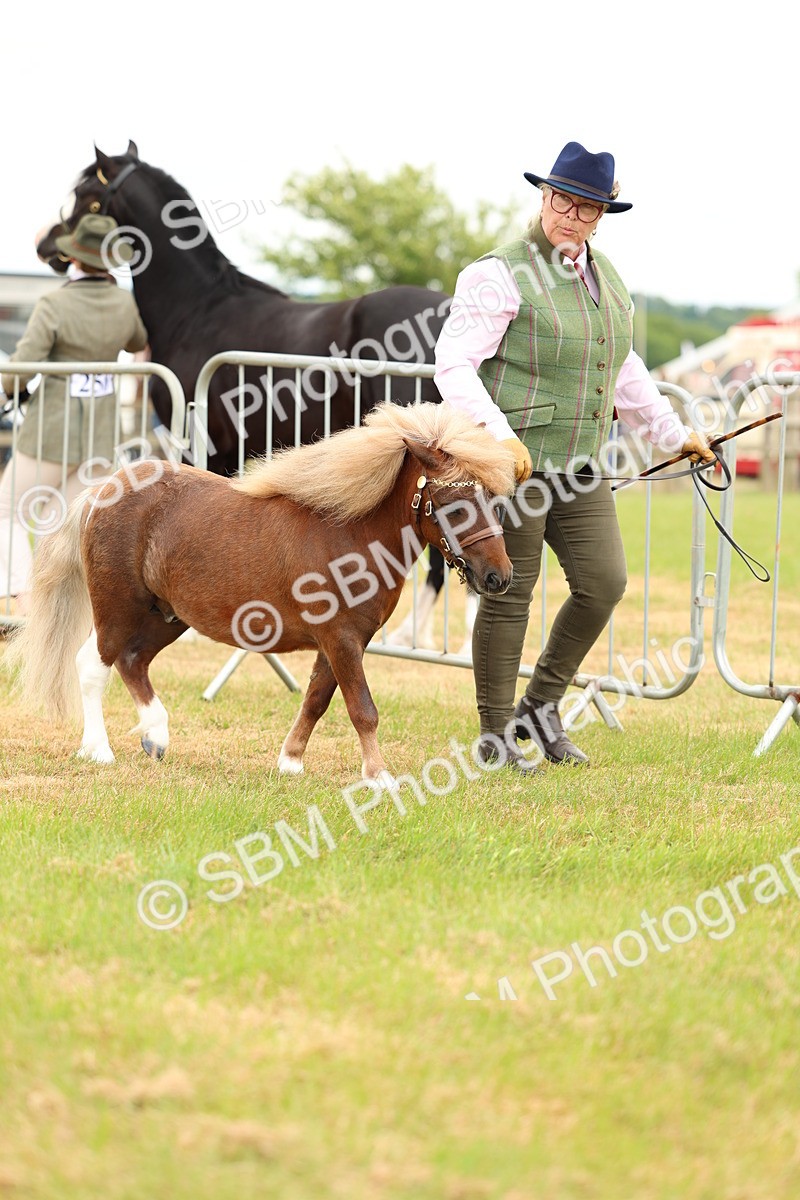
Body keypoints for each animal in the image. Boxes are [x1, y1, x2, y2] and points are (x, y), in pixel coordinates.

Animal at [5, 403, 514, 783]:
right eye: (452, 504)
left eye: (492, 499)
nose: (499, 578)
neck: (350, 534)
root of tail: (102, 491)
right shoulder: (342, 640)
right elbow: (362, 709)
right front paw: (379, 777)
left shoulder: (341, 641)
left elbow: (316, 699)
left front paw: (290, 762)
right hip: (117, 607)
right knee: (93, 666)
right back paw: (98, 750)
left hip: (166, 615)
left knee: (133, 662)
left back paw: (157, 737)